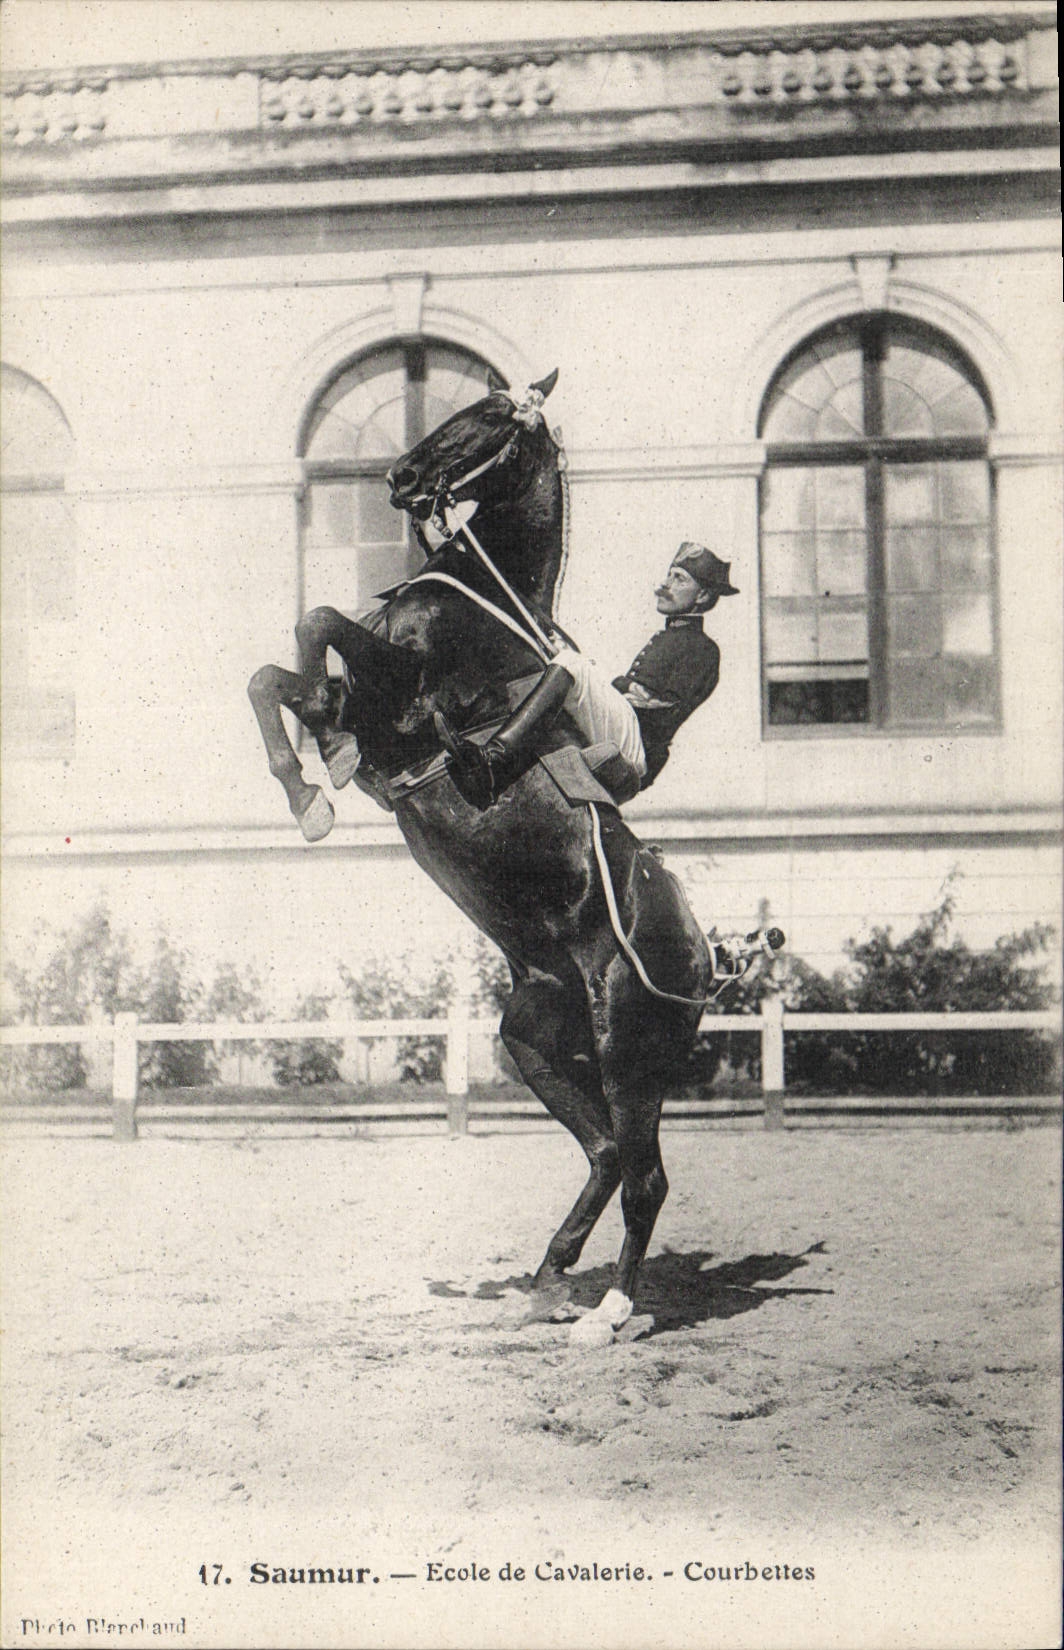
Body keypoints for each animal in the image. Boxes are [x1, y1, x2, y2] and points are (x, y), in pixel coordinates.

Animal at [249, 370, 750, 1346]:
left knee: (645, 1175)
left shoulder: (402, 703)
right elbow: (279, 675)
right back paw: (548, 1279)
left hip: (627, 1046)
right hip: (534, 1038)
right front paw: (306, 781)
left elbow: (316, 620)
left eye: (486, 419)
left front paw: (317, 776)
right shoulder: (369, 701)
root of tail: (708, 962)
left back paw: (612, 1310)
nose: (402, 477)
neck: (490, 601)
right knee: (604, 1153)